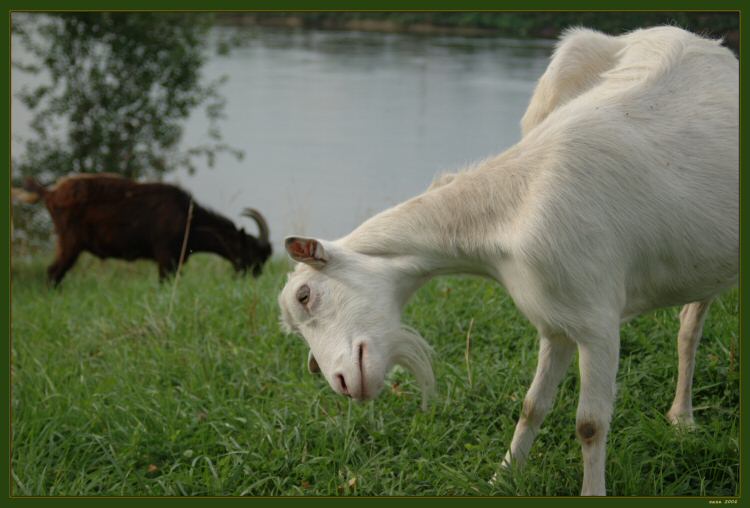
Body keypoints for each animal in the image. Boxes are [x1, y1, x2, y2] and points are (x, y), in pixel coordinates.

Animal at [16, 175, 274, 286]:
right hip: (70, 240)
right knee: (54, 271)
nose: (256, 276)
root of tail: (50, 192)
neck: (189, 218)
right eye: (254, 253)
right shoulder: (165, 256)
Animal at [278, 26, 740, 496]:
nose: (341, 384)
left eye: (305, 295)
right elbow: (532, 404)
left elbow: (590, 424)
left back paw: (682, 419)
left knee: (690, 324)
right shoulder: (556, 320)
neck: (513, 208)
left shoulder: (598, 323)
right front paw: (503, 475)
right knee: (689, 320)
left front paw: (591, 491)